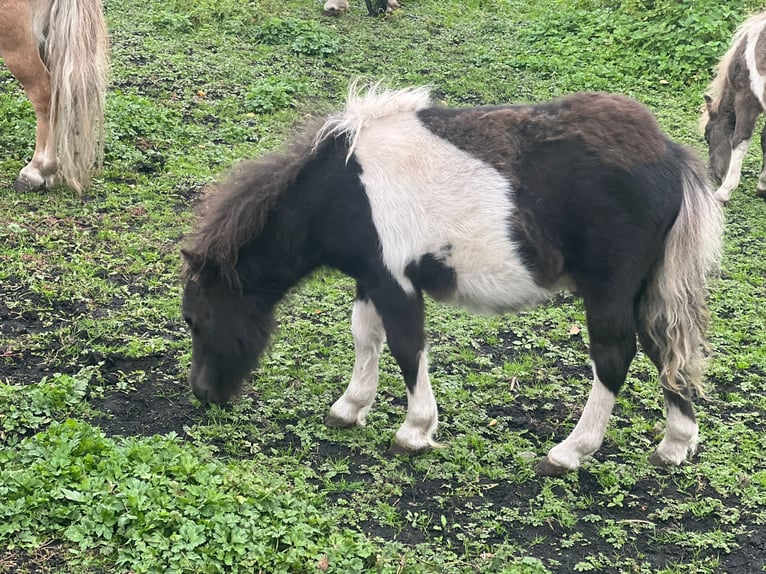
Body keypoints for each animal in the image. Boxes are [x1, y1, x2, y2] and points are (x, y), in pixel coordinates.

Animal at [182, 83, 728, 474]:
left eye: (194, 318)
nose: (203, 394)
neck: (343, 191)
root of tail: (669, 155)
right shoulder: (371, 275)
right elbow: (365, 336)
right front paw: (350, 407)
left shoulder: (396, 281)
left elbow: (407, 347)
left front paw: (414, 431)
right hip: (645, 288)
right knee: (664, 346)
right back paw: (675, 444)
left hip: (609, 289)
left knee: (614, 356)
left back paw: (569, 453)